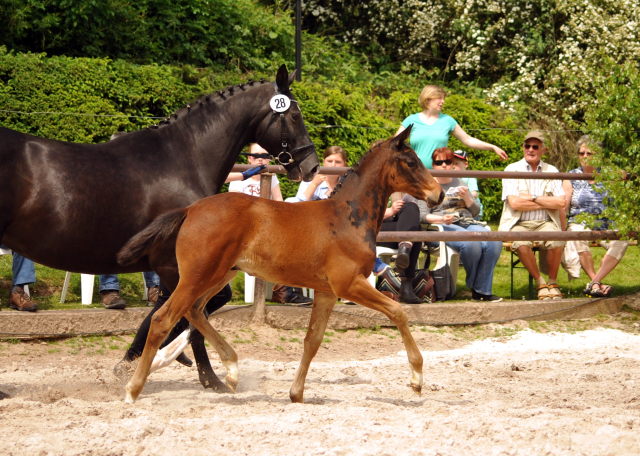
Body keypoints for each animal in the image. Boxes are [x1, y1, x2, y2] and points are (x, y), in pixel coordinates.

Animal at [0, 64, 320, 392]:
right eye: (296, 114)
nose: (312, 166)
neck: (183, 160)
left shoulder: (176, 267)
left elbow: (175, 313)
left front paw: (134, 361)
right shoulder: (175, 265)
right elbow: (193, 315)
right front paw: (208, 377)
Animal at [117, 126, 442, 400]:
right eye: (411, 162)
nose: (438, 194)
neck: (347, 218)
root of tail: (190, 210)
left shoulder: (326, 292)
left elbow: (312, 341)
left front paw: (296, 394)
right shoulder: (349, 284)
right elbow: (398, 312)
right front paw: (416, 378)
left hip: (218, 275)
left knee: (195, 312)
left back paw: (231, 370)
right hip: (198, 275)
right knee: (164, 318)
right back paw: (133, 389)